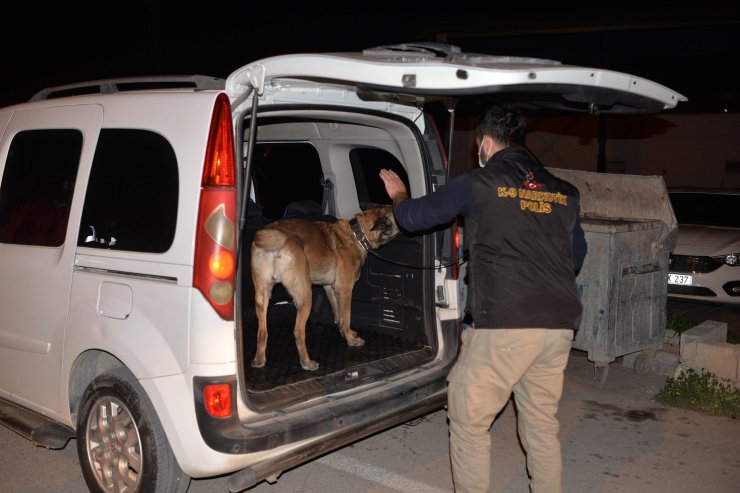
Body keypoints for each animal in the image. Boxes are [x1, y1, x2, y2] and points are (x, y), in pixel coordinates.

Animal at [250, 204, 398, 368]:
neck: (357, 234)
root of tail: (275, 236)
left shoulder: (330, 288)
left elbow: (339, 316)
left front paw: (344, 333)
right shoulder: (345, 290)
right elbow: (346, 318)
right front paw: (350, 339)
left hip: (262, 297)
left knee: (262, 332)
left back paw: (259, 360)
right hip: (305, 296)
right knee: (298, 332)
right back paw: (307, 362)